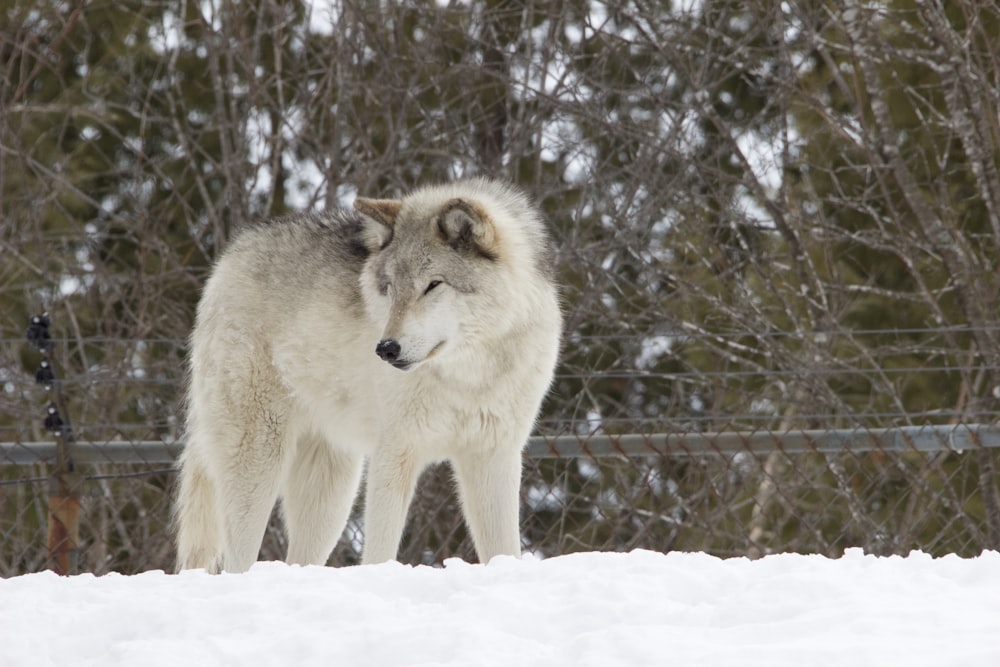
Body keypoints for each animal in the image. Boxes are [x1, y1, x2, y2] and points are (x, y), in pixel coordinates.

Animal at [173, 179, 564, 576]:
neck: (469, 376)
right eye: (390, 288)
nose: (386, 349)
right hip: (260, 459)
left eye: (433, 285)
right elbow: (379, 551)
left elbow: (505, 550)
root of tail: (231, 253)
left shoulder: (495, 455)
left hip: (331, 492)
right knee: (236, 560)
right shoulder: (395, 452)